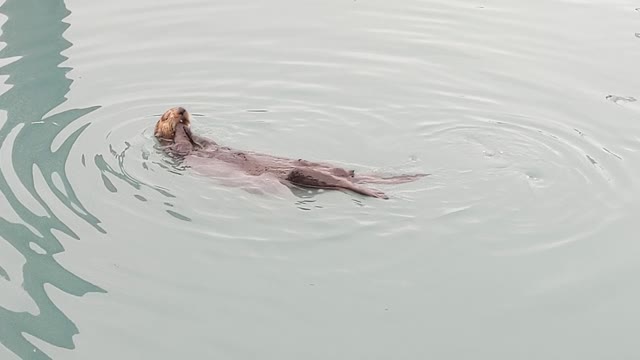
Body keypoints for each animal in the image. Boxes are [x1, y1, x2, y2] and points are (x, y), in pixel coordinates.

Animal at [154, 106, 424, 200]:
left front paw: (189, 127)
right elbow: (182, 145)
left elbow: (205, 142)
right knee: (340, 182)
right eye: (166, 114)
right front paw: (180, 128)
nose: (181, 110)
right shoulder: (176, 151)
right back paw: (377, 193)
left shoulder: (205, 143)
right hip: (300, 174)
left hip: (322, 168)